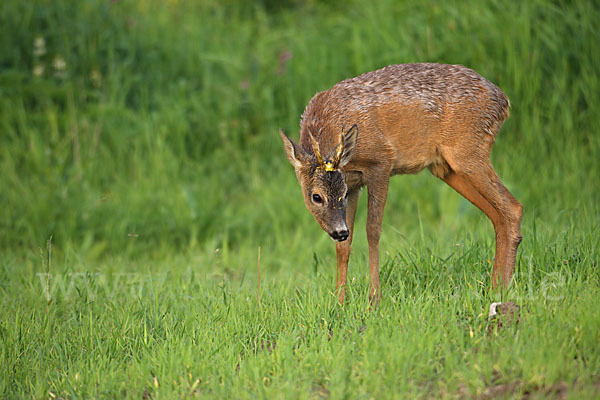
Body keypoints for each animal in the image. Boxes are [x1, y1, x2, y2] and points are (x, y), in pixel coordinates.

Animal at [280, 64, 520, 304]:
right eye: (316, 196)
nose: (339, 231)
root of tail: (503, 100)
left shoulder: (381, 162)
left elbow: (372, 231)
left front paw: (374, 299)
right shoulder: (354, 182)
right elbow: (344, 247)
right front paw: (339, 302)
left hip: (468, 153)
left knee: (512, 207)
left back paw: (502, 288)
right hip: (446, 168)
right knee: (497, 214)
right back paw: (495, 287)